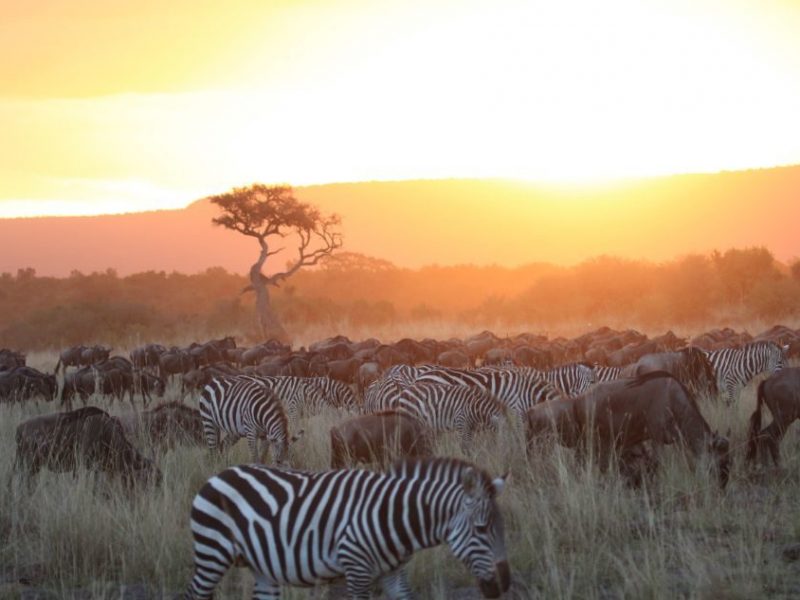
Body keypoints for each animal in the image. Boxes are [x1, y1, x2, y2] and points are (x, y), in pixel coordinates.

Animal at [182, 458, 510, 596]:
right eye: (481, 529)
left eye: (501, 529)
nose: (504, 585)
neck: (392, 516)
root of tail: (219, 474)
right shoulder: (357, 570)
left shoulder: (393, 574)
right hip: (212, 554)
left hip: (262, 567)